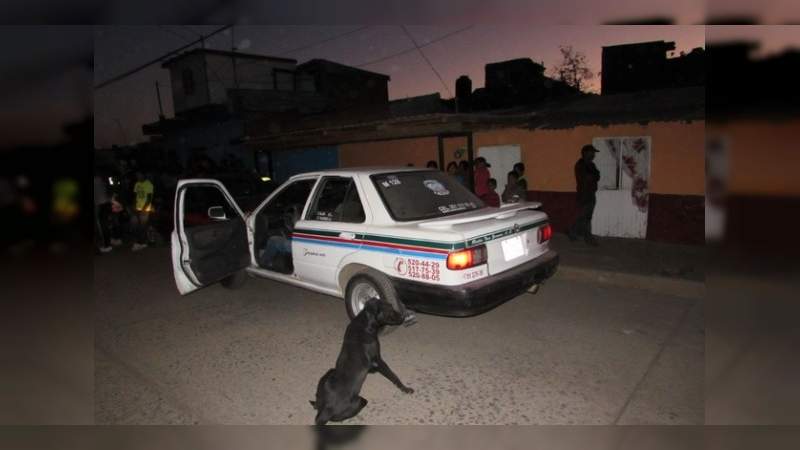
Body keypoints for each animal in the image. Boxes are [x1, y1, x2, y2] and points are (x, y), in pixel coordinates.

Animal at [310, 298, 416, 426]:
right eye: (389, 309)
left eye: (391, 305)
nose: (403, 316)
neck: (364, 322)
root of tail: (326, 410)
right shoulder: (379, 360)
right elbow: (393, 376)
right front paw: (405, 388)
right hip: (360, 401)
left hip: (330, 371)